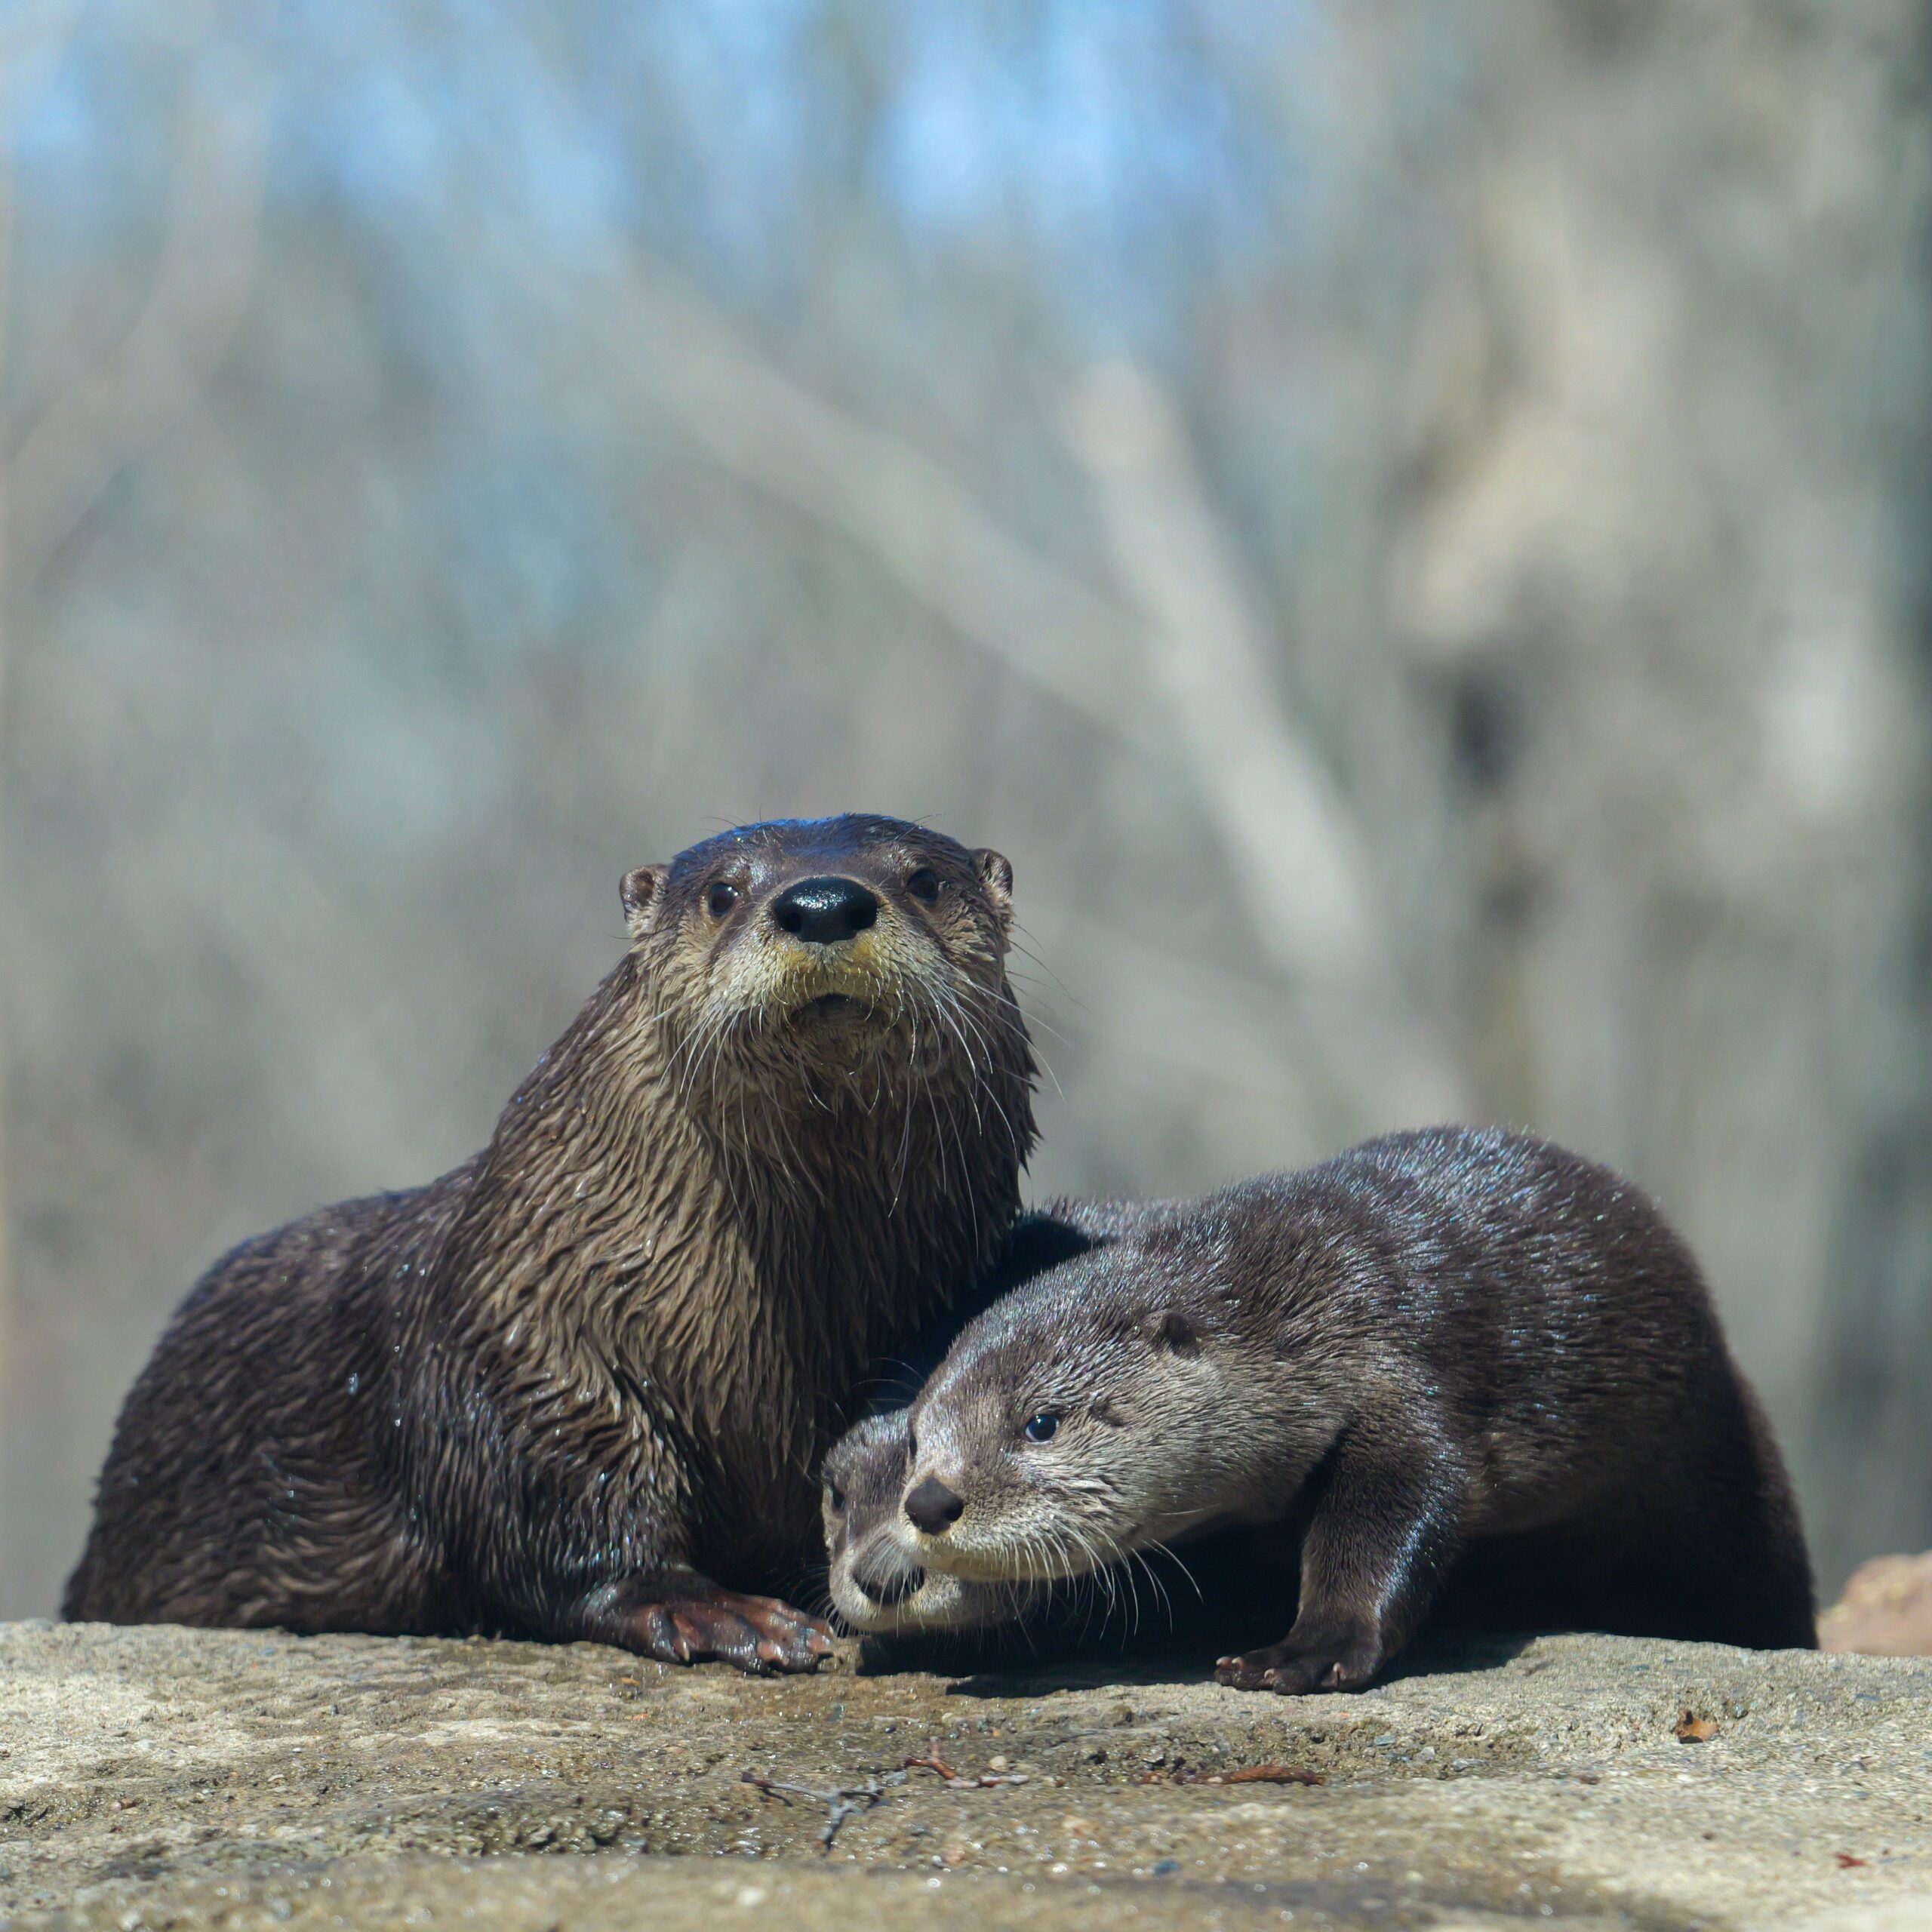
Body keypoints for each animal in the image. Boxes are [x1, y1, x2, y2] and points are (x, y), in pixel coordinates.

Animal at [66, 814, 1036, 1672]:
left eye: (924, 878)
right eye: (723, 892)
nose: (825, 901)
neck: (773, 1339)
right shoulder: (520, 1331)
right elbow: (552, 1496)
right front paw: (714, 1610)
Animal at [877, 1127, 1816, 1691]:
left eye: (1040, 1422)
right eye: (918, 1435)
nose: (929, 1502)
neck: (1304, 1309)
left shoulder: (1399, 1373)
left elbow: (1399, 1507)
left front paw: (1305, 1651)